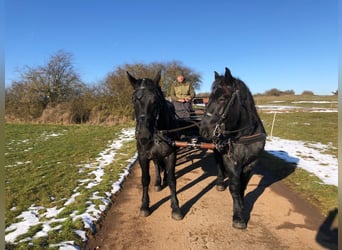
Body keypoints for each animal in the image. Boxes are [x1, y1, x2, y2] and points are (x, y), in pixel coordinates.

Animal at [126, 71, 184, 221]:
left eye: (155, 100)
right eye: (133, 99)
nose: (143, 134)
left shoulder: (171, 154)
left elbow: (172, 179)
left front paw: (176, 207)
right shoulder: (143, 156)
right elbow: (145, 179)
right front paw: (144, 206)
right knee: (157, 165)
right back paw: (158, 182)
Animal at [200, 67, 268, 229]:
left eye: (222, 98)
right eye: (209, 98)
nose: (204, 130)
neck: (245, 134)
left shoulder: (251, 163)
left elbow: (243, 185)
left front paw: (242, 205)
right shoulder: (231, 162)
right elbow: (235, 187)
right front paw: (238, 216)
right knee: (218, 163)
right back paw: (220, 182)